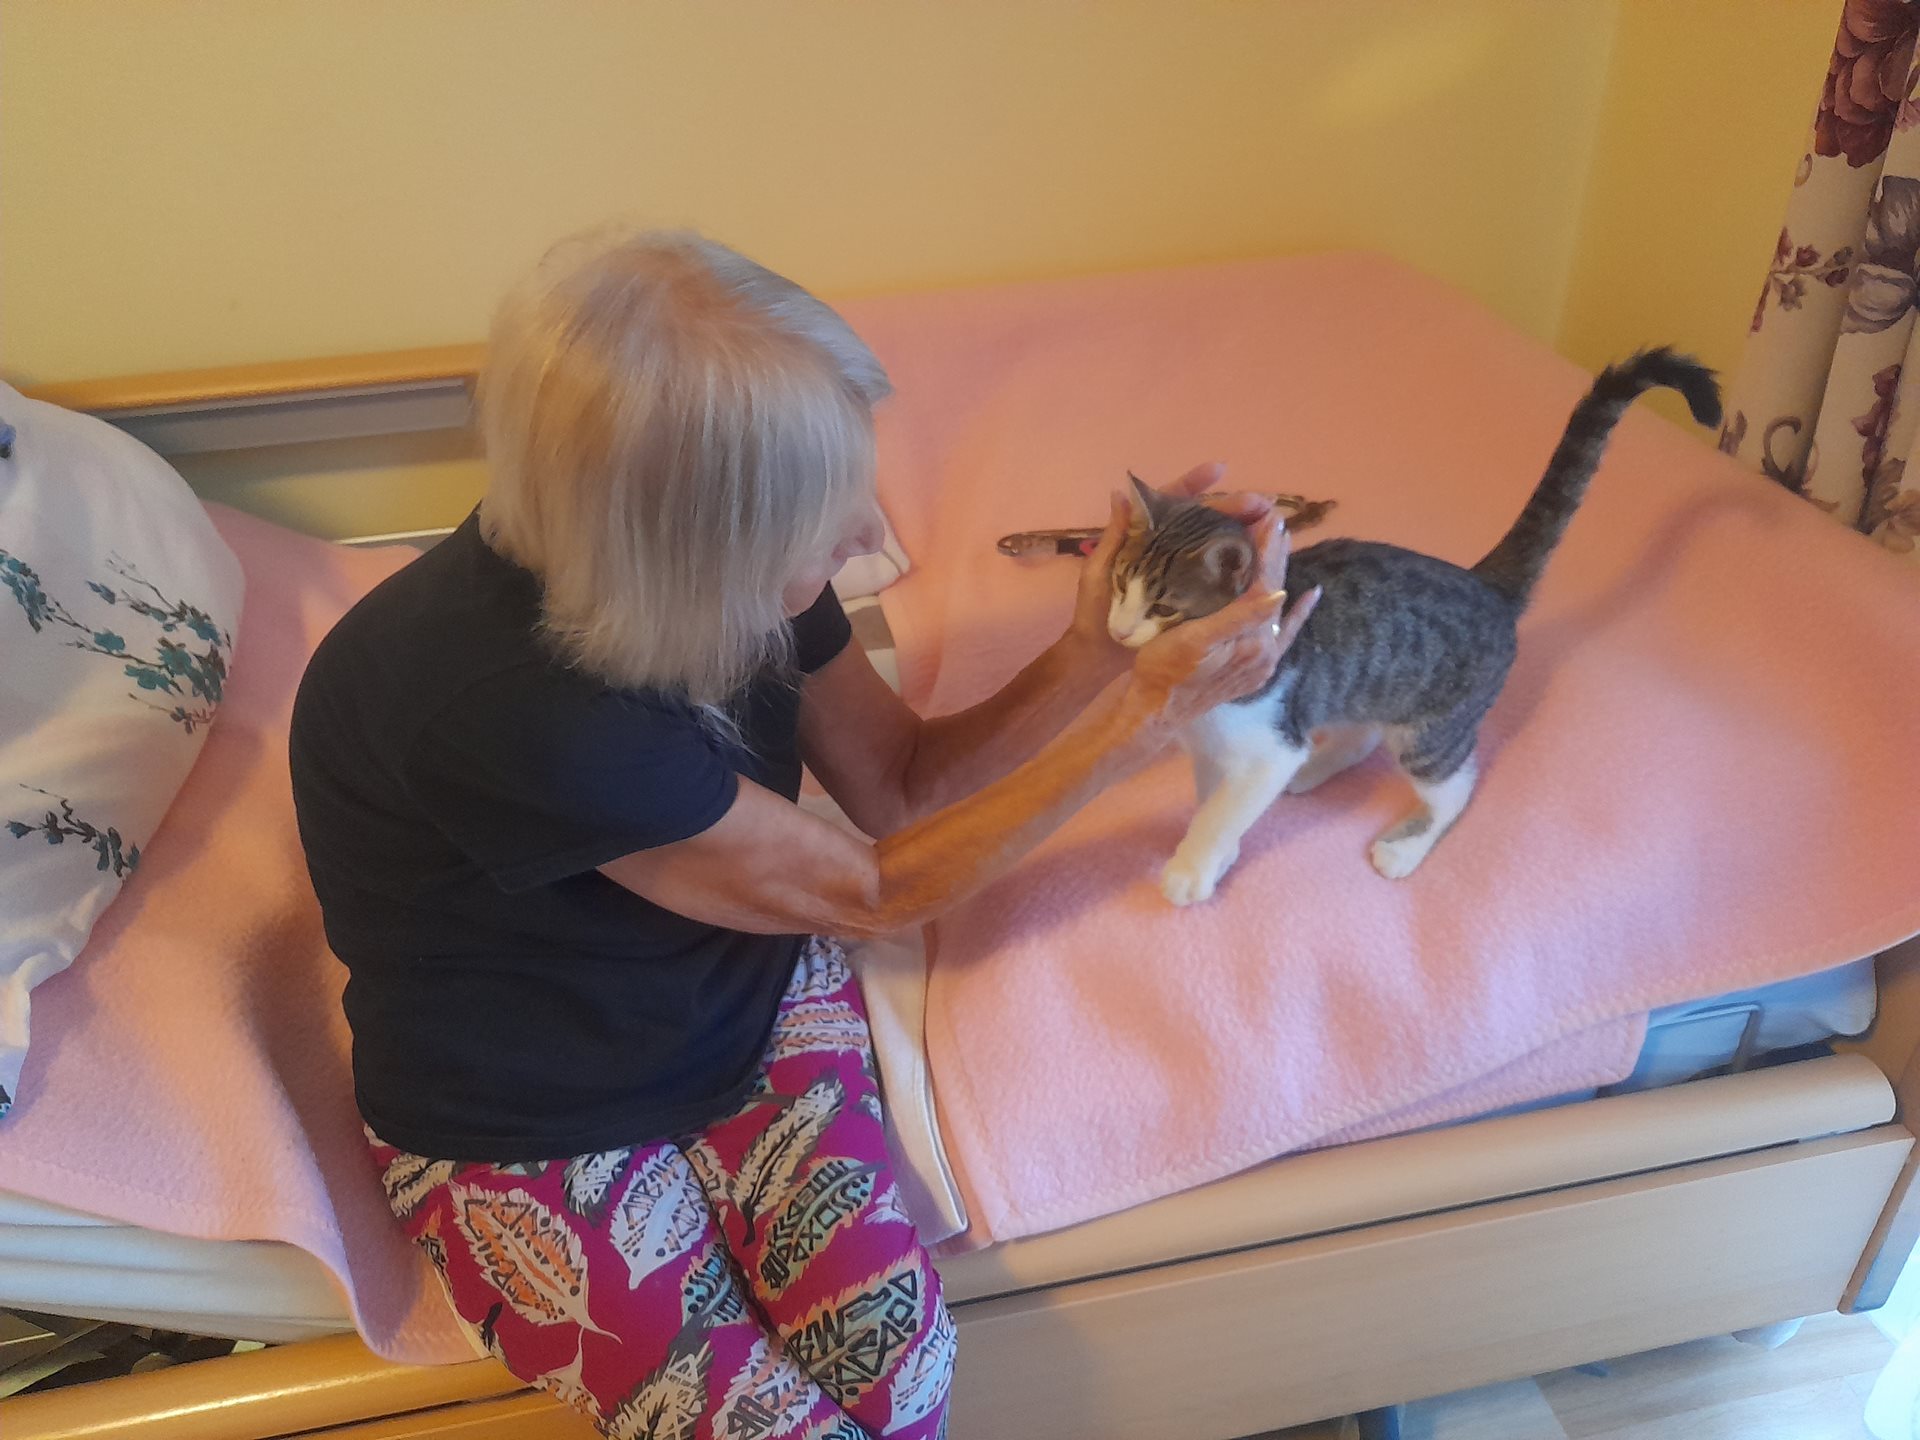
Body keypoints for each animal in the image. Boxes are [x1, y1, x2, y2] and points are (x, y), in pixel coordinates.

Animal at [1107, 347, 1723, 904]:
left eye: (1164, 607)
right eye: (1118, 583)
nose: (1118, 631)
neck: (1199, 690)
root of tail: (1485, 583)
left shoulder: (1268, 744)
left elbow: (1223, 810)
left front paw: (1192, 870)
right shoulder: (1213, 747)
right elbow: (1212, 797)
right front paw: (1217, 853)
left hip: (1435, 729)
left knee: (1456, 786)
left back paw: (1405, 848)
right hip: (1374, 680)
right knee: (1363, 733)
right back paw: (1317, 768)